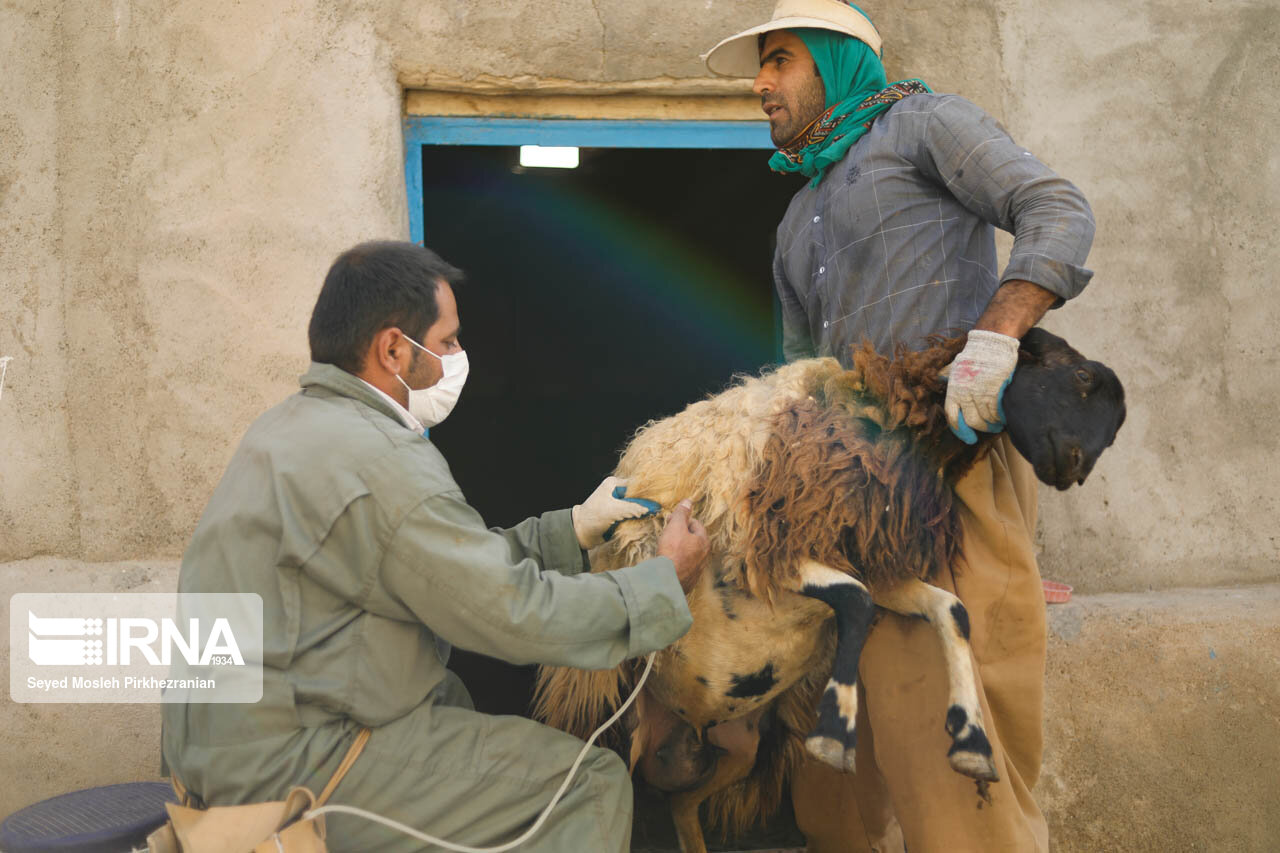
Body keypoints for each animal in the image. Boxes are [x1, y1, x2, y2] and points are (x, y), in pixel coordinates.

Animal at [529, 326, 1121, 850]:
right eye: (1082, 376)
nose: (1077, 468)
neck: (884, 423)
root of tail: (684, 731)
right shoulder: (769, 553)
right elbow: (856, 601)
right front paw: (836, 733)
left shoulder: (878, 570)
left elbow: (952, 610)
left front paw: (971, 743)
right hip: (605, 717)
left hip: (740, 749)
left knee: (681, 807)